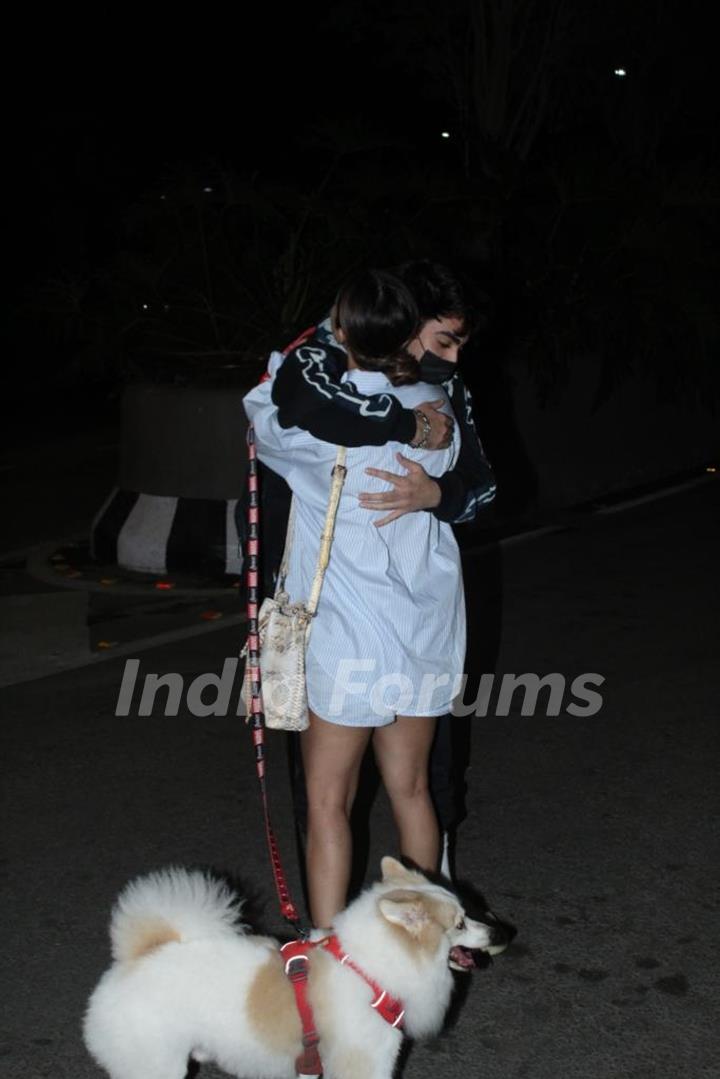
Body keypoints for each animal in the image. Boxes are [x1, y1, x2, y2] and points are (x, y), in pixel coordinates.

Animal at [84, 858, 505, 1079]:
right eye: (460, 924)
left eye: (467, 914)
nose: (496, 930)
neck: (366, 968)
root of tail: (136, 957)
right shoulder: (365, 1063)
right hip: (156, 1066)